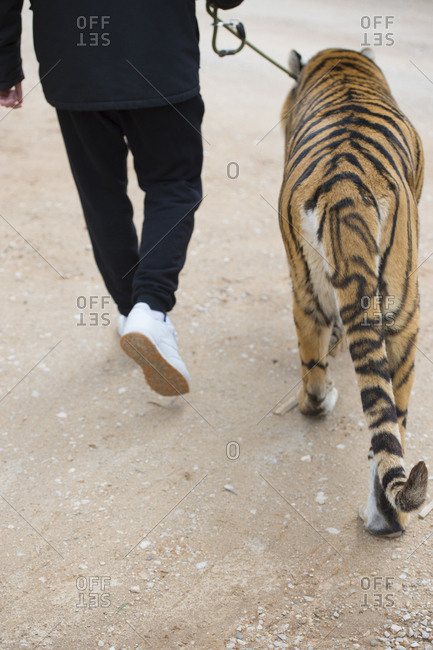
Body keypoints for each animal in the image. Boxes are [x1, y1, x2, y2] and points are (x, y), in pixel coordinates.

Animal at [278, 47, 428, 537]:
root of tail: (345, 187)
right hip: (402, 313)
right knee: (394, 421)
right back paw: (386, 519)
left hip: (310, 291)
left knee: (318, 373)